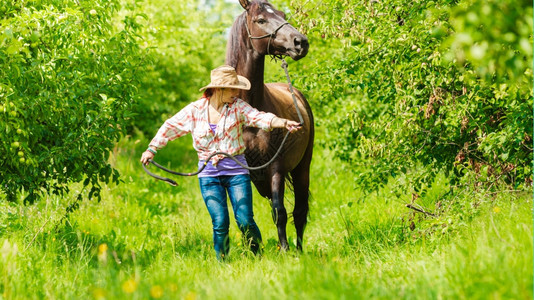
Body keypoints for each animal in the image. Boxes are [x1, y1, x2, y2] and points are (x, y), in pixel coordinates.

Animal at [226, 0, 314, 251]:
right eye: (260, 20)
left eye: (283, 14)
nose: (300, 42)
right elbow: (242, 215)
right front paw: (251, 250)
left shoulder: (276, 168)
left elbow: (279, 212)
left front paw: (284, 250)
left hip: (302, 168)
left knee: (300, 212)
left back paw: (299, 249)